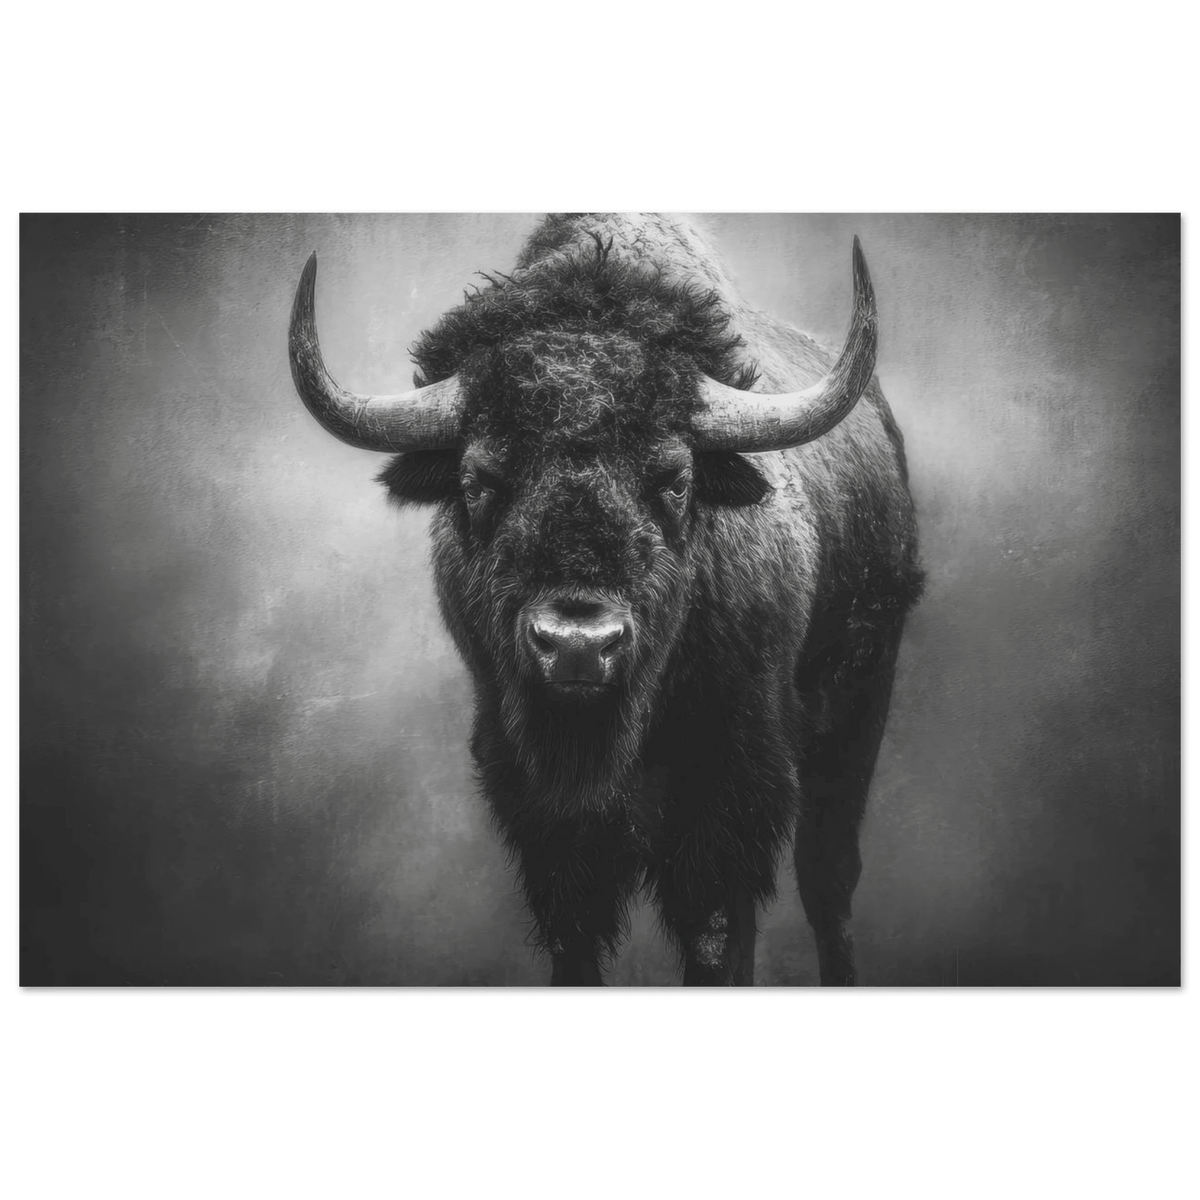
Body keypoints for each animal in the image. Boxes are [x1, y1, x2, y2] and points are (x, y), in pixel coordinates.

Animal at [288, 212, 923, 986]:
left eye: (675, 478)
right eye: (478, 479)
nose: (578, 647)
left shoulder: (730, 794)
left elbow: (717, 933)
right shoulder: (540, 814)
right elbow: (577, 936)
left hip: (857, 705)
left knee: (827, 878)